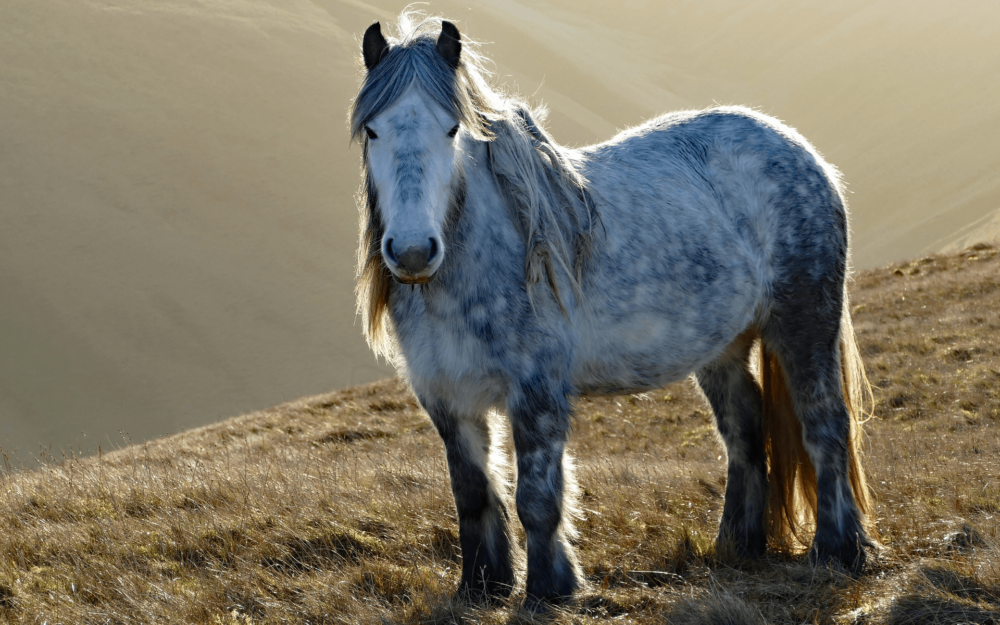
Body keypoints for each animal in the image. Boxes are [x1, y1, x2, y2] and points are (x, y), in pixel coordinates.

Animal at [350, 14, 876, 608]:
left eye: (451, 129)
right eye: (373, 131)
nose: (414, 252)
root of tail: (802, 152)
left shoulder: (536, 391)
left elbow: (537, 497)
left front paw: (549, 589)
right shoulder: (446, 397)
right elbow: (472, 494)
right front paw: (483, 586)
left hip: (805, 324)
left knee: (825, 423)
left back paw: (838, 549)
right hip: (723, 346)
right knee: (744, 429)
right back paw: (737, 546)